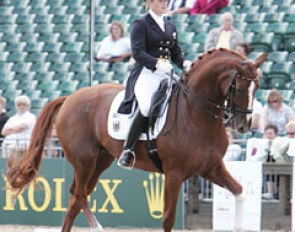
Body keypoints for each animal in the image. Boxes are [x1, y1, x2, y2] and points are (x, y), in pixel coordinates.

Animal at [7, 48, 268, 231]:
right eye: (240, 87)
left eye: (257, 87)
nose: (243, 126)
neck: (196, 112)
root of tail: (70, 97)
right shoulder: (175, 174)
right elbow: (168, 218)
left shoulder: (211, 168)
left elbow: (240, 191)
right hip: (84, 161)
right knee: (78, 194)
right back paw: (98, 227)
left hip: (101, 160)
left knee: (75, 199)